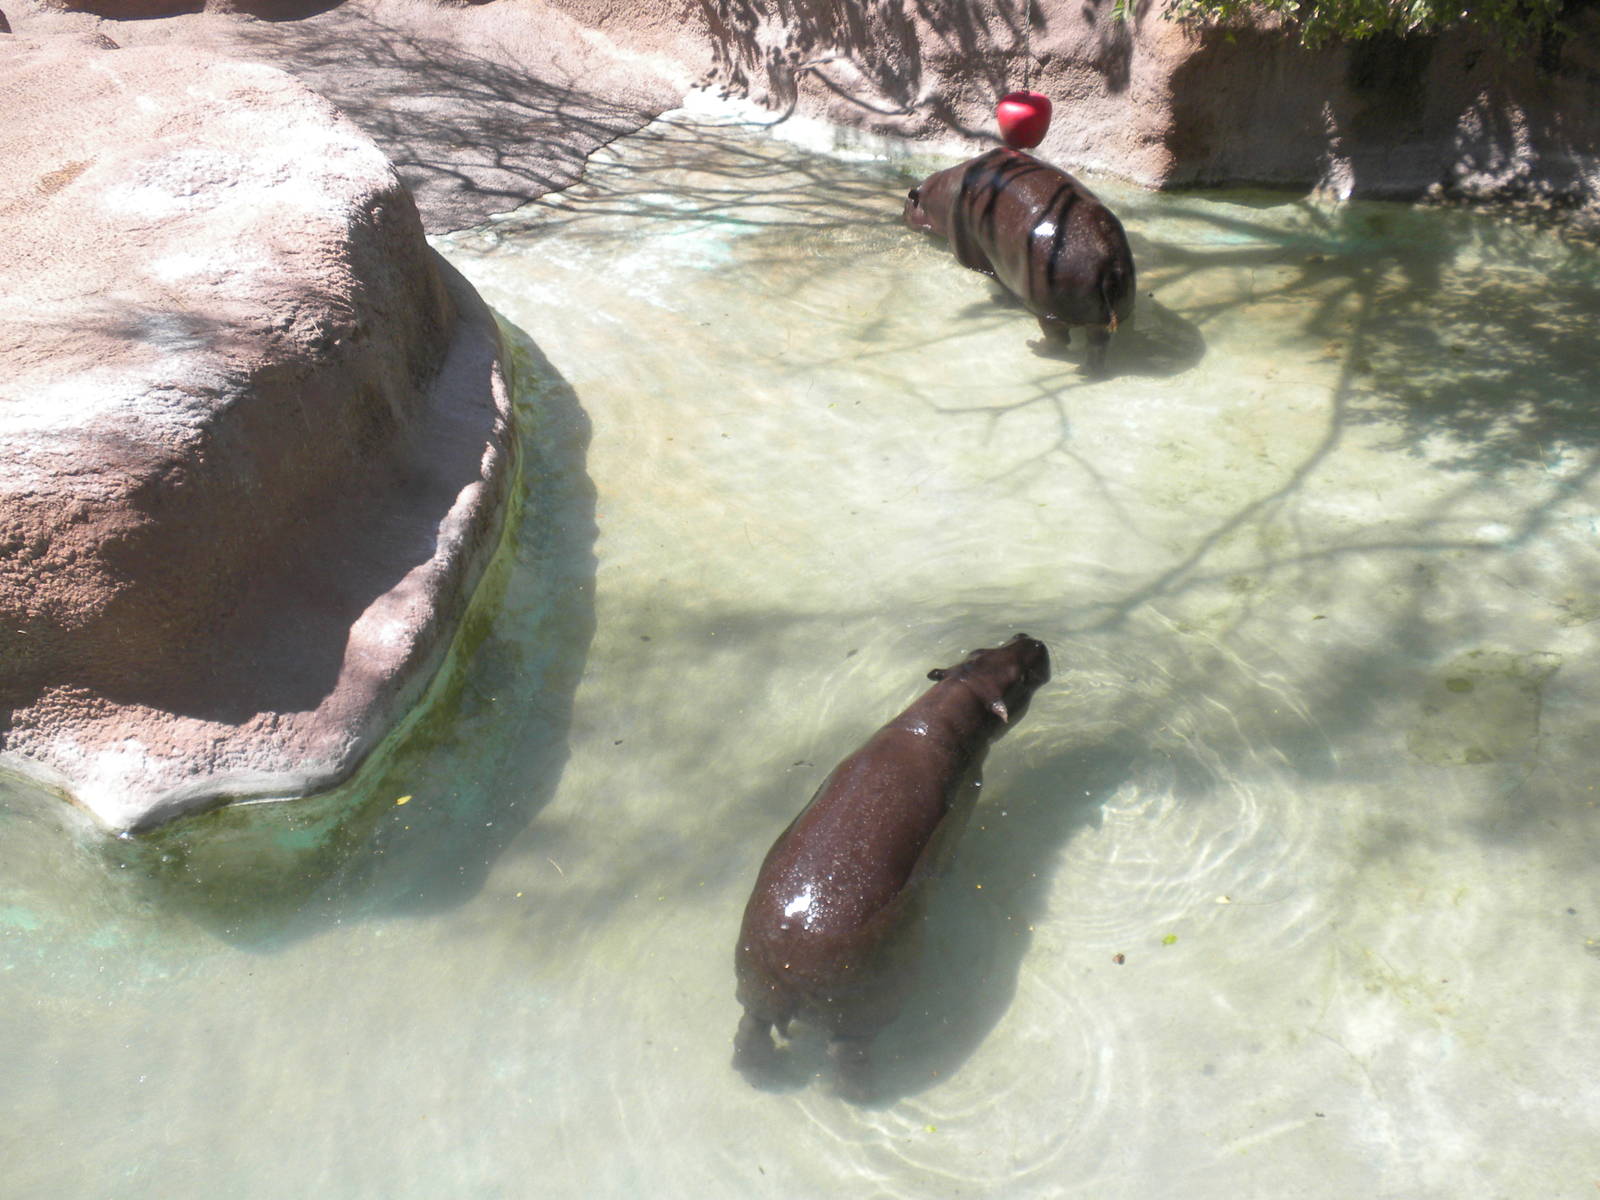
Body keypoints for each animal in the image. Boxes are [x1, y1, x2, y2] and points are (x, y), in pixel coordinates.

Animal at [733, 634, 1051, 1097]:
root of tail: (787, 975)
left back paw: (761, 1075)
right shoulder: (965, 803)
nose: (1031, 639)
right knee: (847, 1055)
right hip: (864, 1012)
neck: (936, 720)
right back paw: (863, 1094)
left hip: (757, 992)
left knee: (750, 1032)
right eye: (1020, 677)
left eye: (981, 652)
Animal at [904, 148, 1136, 374]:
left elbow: (998, 281)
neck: (940, 193)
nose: (903, 213)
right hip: (1100, 320)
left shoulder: (981, 259)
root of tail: (1110, 265)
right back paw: (1085, 371)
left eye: (908, 203)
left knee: (1060, 341)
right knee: (1098, 345)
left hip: (1047, 312)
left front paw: (997, 300)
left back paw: (1035, 347)